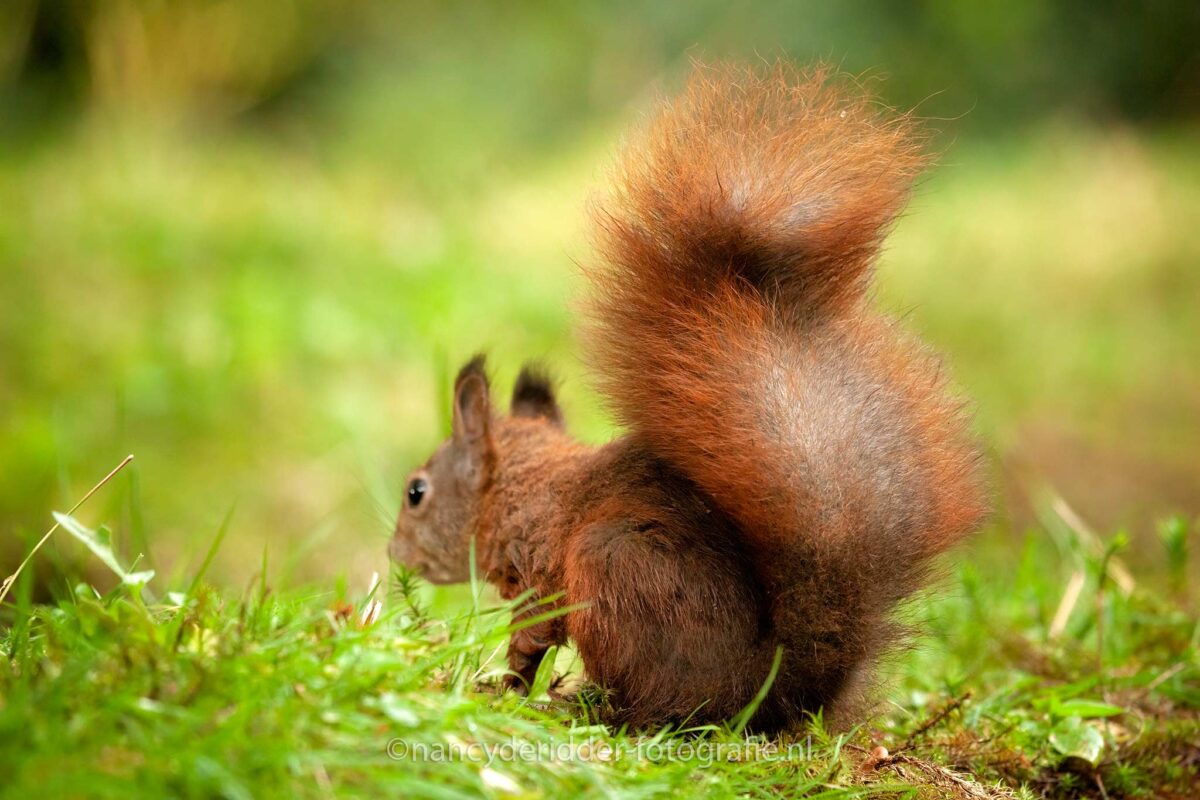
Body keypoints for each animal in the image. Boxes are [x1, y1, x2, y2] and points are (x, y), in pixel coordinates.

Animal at [390, 61, 986, 732]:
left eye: (416, 493)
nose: (395, 553)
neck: (520, 484)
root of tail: (764, 691)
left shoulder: (540, 575)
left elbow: (529, 640)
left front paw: (502, 687)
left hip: (612, 563)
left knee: (662, 707)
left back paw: (595, 706)